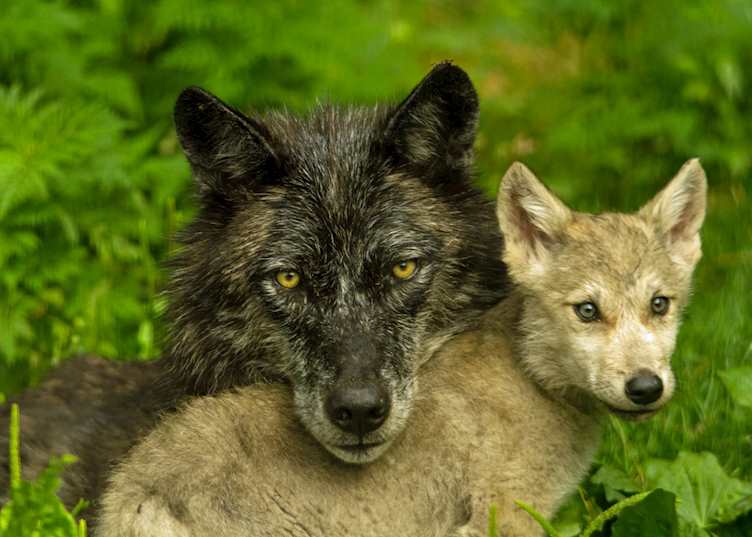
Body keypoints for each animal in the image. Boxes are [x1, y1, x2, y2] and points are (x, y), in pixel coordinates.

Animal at [98, 159, 707, 537]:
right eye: (587, 310)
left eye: (660, 304)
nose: (645, 387)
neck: (529, 378)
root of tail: (135, 493)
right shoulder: (500, 516)